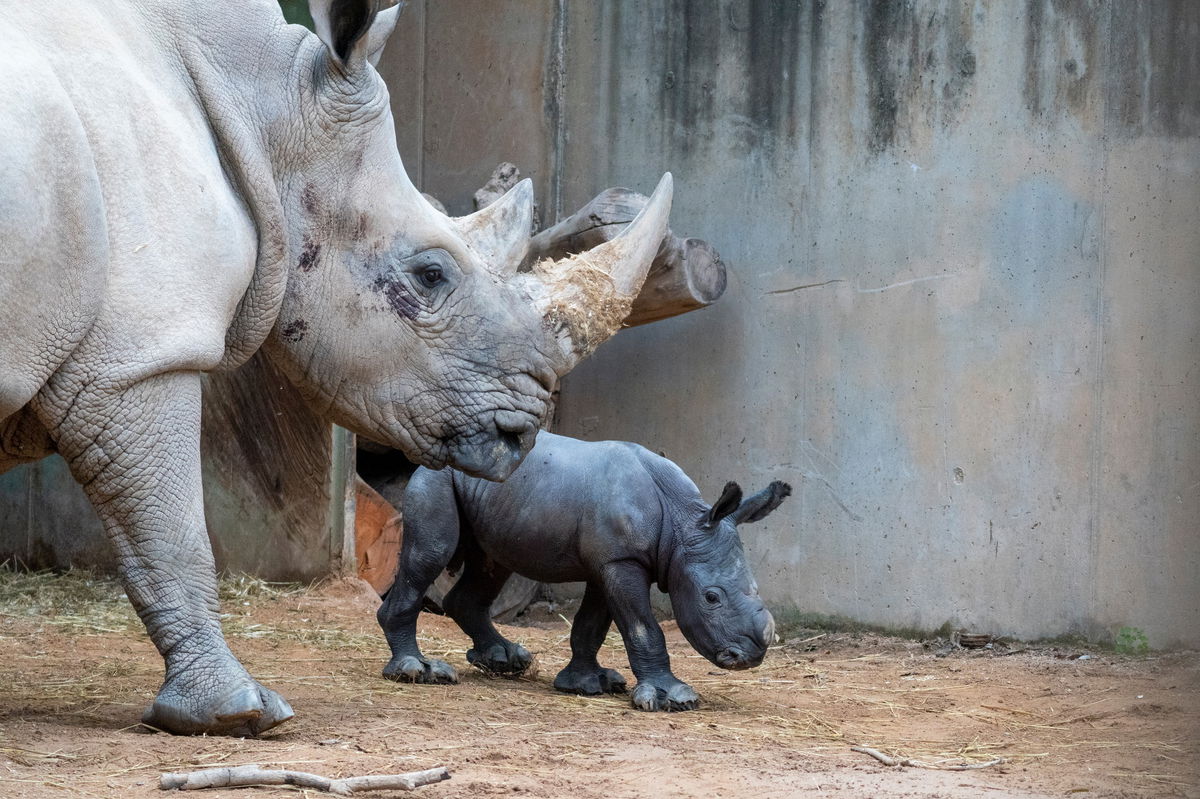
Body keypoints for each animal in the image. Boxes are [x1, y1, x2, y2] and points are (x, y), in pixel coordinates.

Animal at [0, 0, 670, 736]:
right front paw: (238, 712)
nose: (522, 435)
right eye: (430, 275)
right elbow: (171, 532)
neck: (266, 106)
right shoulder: (139, 355)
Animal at [377, 432, 790, 711]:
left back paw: (505, 660)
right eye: (711, 597)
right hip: (437, 477)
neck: (682, 522)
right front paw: (672, 698)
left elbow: (591, 626)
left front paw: (588, 684)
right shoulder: (621, 561)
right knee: (431, 553)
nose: (750, 656)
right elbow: (643, 627)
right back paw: (418, 671)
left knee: (490, 566)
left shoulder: (608, 563)